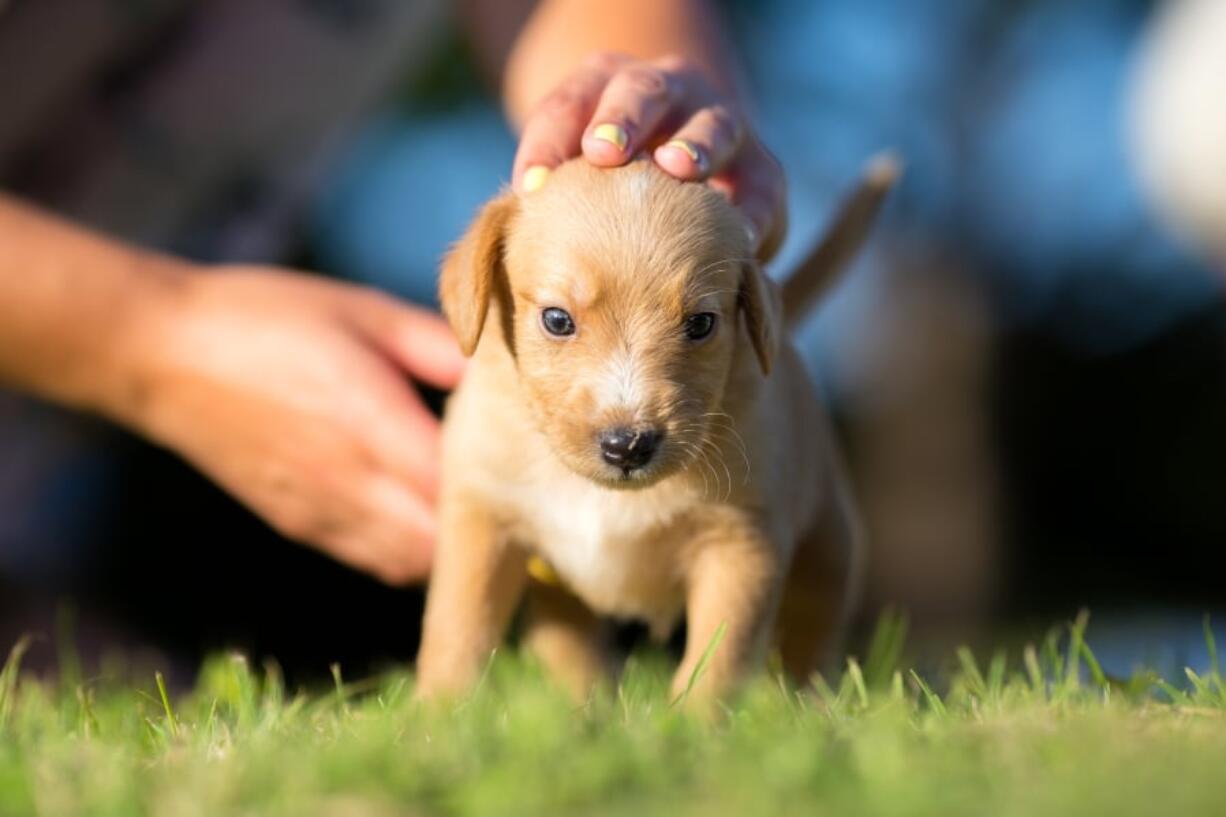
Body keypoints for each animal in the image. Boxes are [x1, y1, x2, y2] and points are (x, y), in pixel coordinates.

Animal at [416, 154, 897, 701]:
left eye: (701, 324)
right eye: (557, 320)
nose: (628, 445)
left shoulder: (741, 543)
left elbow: (721, 657)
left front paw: (693, 721)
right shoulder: (480, 520)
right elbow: (458, 628)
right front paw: (441, 711)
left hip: (829, 547)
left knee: (810, 638)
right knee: (572, 647)